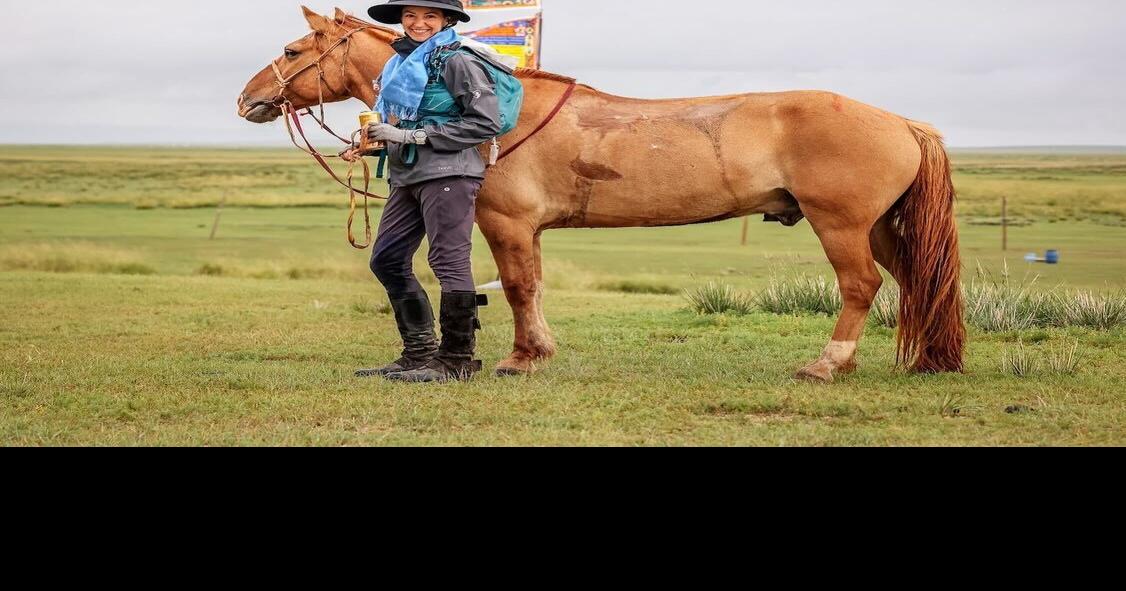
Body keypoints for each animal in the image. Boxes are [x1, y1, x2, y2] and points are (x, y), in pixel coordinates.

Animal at [237, 7, 965, 383]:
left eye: (292, 48)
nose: (248, 98)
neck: (501, 115)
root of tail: (903, 122)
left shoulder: (504, 221)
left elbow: (516, 286)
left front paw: (519, 358)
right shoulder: (526, 229)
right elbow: (530, 285)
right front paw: (537, 350)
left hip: (841, 225)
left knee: (861, 287)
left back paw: (826, 364)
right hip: (882, 226)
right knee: (916, 280)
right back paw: (931, 359)